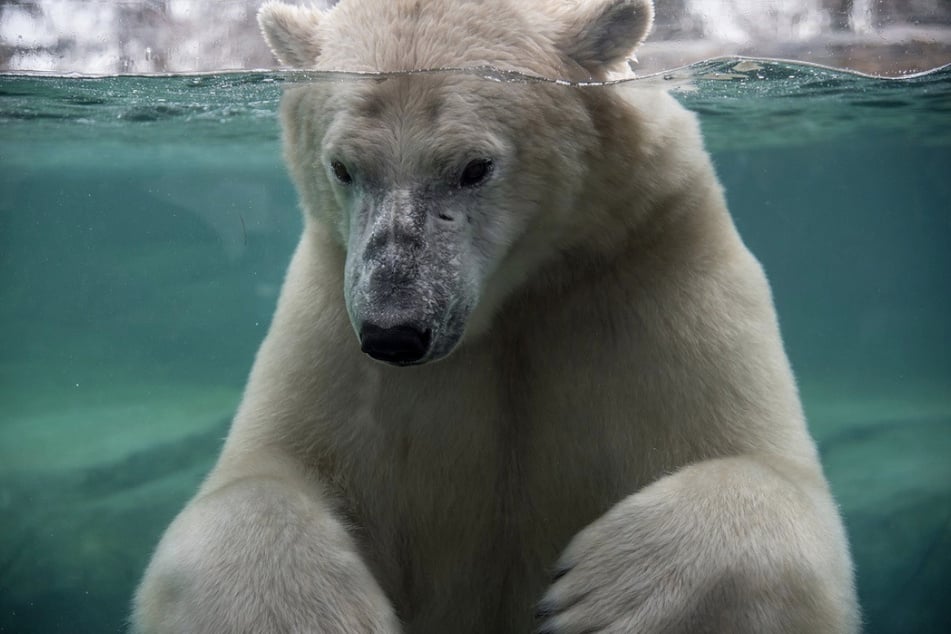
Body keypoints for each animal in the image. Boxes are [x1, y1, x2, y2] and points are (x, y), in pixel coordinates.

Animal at [132, 1, 864, 632]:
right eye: (343, 167)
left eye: (473, 166)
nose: (395, 331)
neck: (508, 302)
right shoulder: (331, 318)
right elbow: (258, 476)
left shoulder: (652, 265)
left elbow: (767, 476)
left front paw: (601, 595)